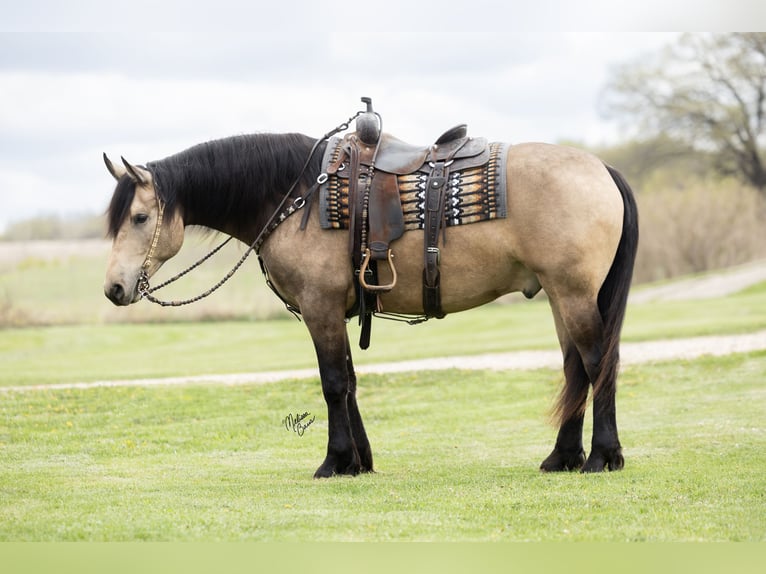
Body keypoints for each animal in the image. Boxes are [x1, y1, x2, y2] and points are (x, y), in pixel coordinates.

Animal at [103, 116, 638, 478]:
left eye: (140, 218)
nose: (114, 288)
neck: (296, 193)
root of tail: (602, 167)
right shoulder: (337, 311)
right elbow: (351, 382)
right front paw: (359, 461)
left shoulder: (319, 307)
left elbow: (333, 383)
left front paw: (335, 461)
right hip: (558, 295)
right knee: (574, 367)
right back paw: (562, 456)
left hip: (573, 292)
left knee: (597, 362)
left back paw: (602, 456)